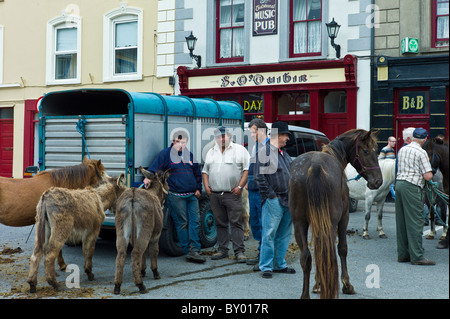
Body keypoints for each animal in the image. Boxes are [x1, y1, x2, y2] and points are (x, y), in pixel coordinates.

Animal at [288, 129, 384, 298]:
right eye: (366, 151)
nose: (378, 181)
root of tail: (315, 166)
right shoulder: (344, 218)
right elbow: (342, 249)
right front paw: (346, 284)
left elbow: (317, 250)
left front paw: (318, 284)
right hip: (332, 222)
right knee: (330, 252)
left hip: (299, 223)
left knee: (306, 256)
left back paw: (306, 294)